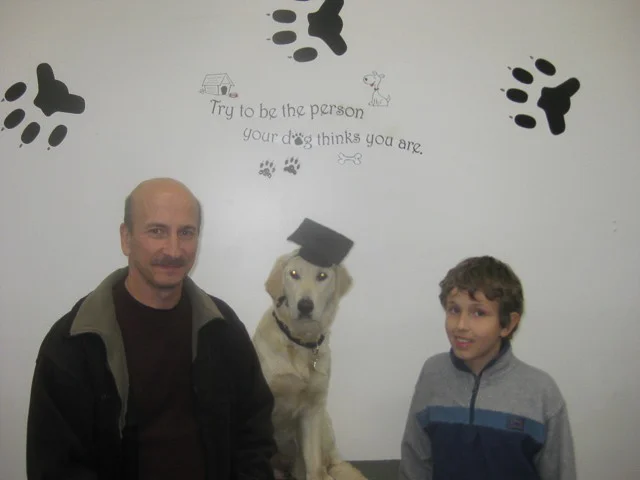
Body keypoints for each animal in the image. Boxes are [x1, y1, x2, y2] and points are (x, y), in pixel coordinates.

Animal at [252, 250, 367, 480]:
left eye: (322, 276)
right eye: (294, 274)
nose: (305, 305)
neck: (299, 342)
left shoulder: (313, 409)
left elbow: (314, 465)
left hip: (324, 421)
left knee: (329, 466)